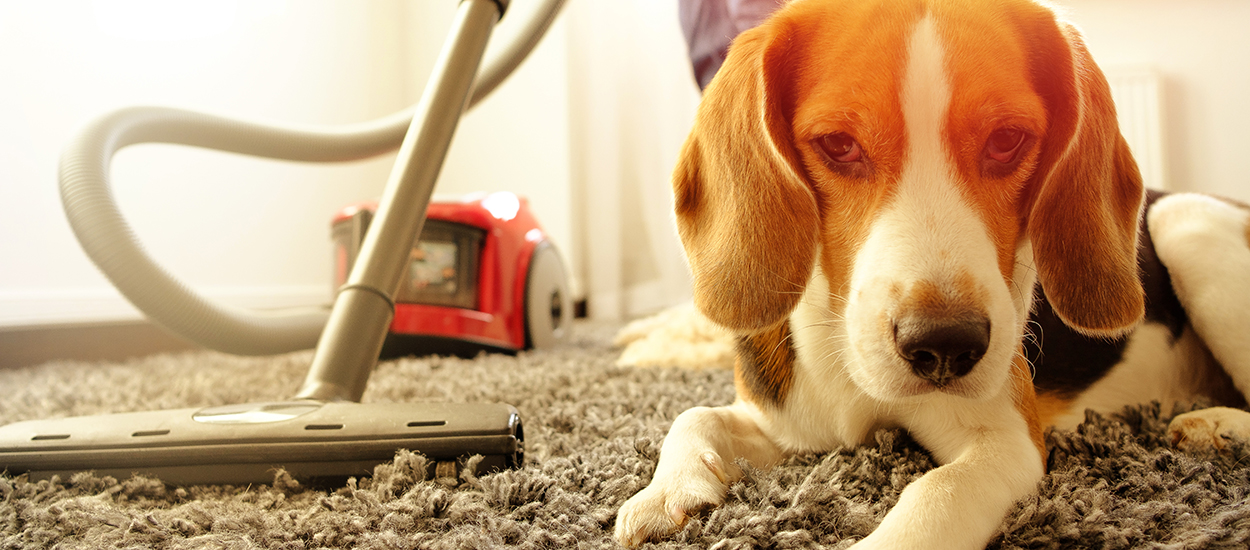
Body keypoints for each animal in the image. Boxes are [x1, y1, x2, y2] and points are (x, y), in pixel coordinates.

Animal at [612, 0, 1250, 547]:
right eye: (838, 144)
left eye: (1008, 140)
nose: (945, 346)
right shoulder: (789, 422)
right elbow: (692, 415)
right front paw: (665, 494)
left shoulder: (1009, 443)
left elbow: (938, 493)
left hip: (1184, 222)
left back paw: (1215, 425)